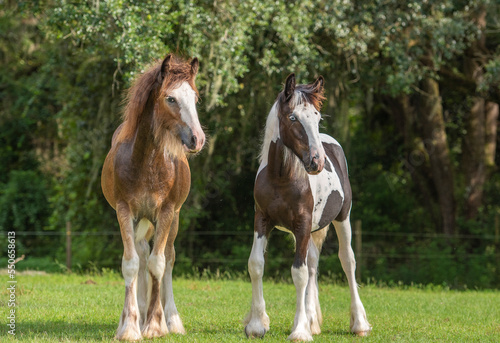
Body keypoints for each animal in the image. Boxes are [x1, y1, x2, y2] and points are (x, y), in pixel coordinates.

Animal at [245, 74, 372, 342]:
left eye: (317, 117)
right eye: (293, 117)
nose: (317, 162)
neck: (281, 178)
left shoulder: (302, 224)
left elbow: (298, 273)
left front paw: (300, 331)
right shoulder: (262, 220)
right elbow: (256, 264)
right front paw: (257, 324)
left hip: (342, 218)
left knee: (347, 261)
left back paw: (359, 324)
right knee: (312, 263)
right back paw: (312, 320)